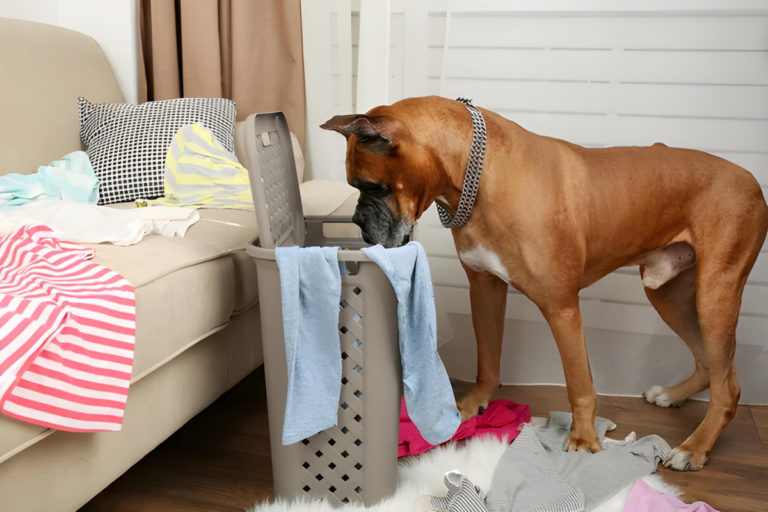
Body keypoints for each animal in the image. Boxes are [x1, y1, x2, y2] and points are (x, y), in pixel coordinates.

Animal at [320, 94, 768, 470]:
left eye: (372, 187)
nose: (358, 221)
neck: (477, 174)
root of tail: (750, 179)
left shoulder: (561, 307)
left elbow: (579, 382)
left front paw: (584, 441)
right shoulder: (485, 288)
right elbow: (487, 359)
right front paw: (474, 404)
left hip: (714, 295)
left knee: (728, 386)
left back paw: (694, 447)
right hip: (668, 294)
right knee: (710, 366)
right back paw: (673, 396)